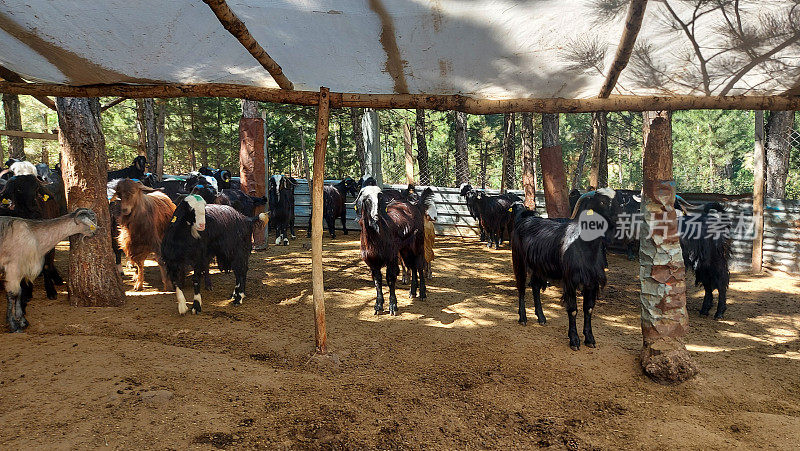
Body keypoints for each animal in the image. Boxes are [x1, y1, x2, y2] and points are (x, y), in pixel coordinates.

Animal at [512, 189, 620, 352]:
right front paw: (574, 340)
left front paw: (590, 339)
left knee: (535, 287)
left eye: (617, 200)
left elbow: (588, 309)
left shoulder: (591, 281)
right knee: (521, 288)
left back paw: (541, 318)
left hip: (538, 267)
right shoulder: (570, 281)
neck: (583, 246)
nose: (617, 218)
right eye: (602, 201)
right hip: (519, 260)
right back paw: (523, 318)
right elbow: (573, 310)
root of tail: (525, 219)